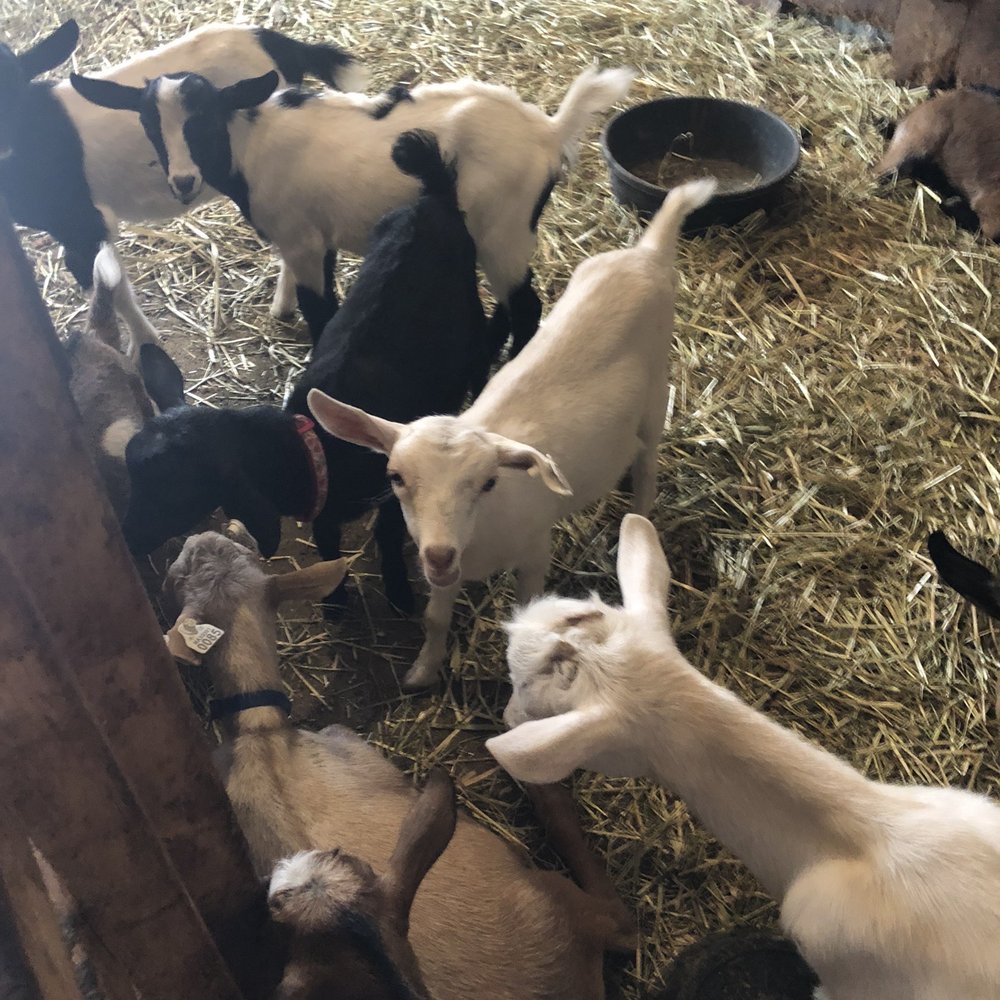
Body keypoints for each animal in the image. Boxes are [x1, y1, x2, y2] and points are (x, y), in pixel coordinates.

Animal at [70, 64, 634, 345]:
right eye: (149, 123)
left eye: (204, 119)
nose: (184, 181)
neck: (249, 145)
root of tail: (549, 130)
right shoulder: (317, 236)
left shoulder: (300, 239)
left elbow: (322, 309)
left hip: (503, 229)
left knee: (526, 307)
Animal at [121, 130, 493, 613]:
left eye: (174, 489)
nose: (126, 538)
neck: (314, 447)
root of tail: (432, 198)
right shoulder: (328, 508)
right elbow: (326, 538)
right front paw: (335, 599)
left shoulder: (395, 481)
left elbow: (388, 534)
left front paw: (398, 594)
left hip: (471, 311)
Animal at [308, 178, 717, 687]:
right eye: (396, 478)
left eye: (487, 482)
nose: (438, 555)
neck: (481, 530)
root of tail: (646, 253)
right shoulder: (447, 568)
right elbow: (435, 618)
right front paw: (422, 672)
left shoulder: (535, 552)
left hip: (657, 391)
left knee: (647, 465)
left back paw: (636, 519)